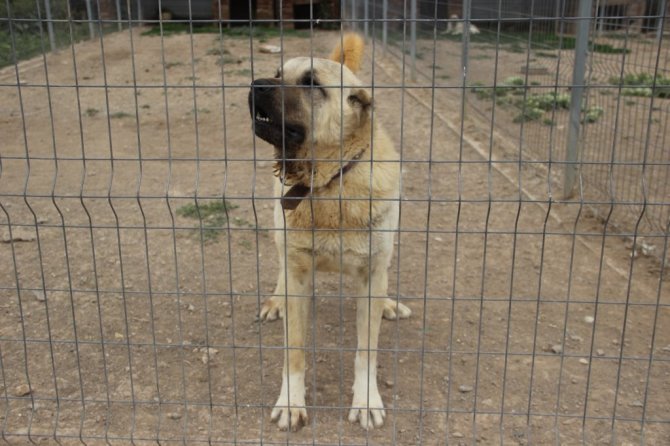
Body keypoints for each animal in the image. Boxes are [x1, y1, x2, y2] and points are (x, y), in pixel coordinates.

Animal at [248, 33, 411, 431]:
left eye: (311, 83)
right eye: (278, 74)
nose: (256, 84)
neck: (327, 183)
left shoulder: (371, 271)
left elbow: (366, 350)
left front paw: (366, 400)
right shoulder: (297, 272)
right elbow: (293, 351)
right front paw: (291, 402)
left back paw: (388, 304)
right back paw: (275, 300)